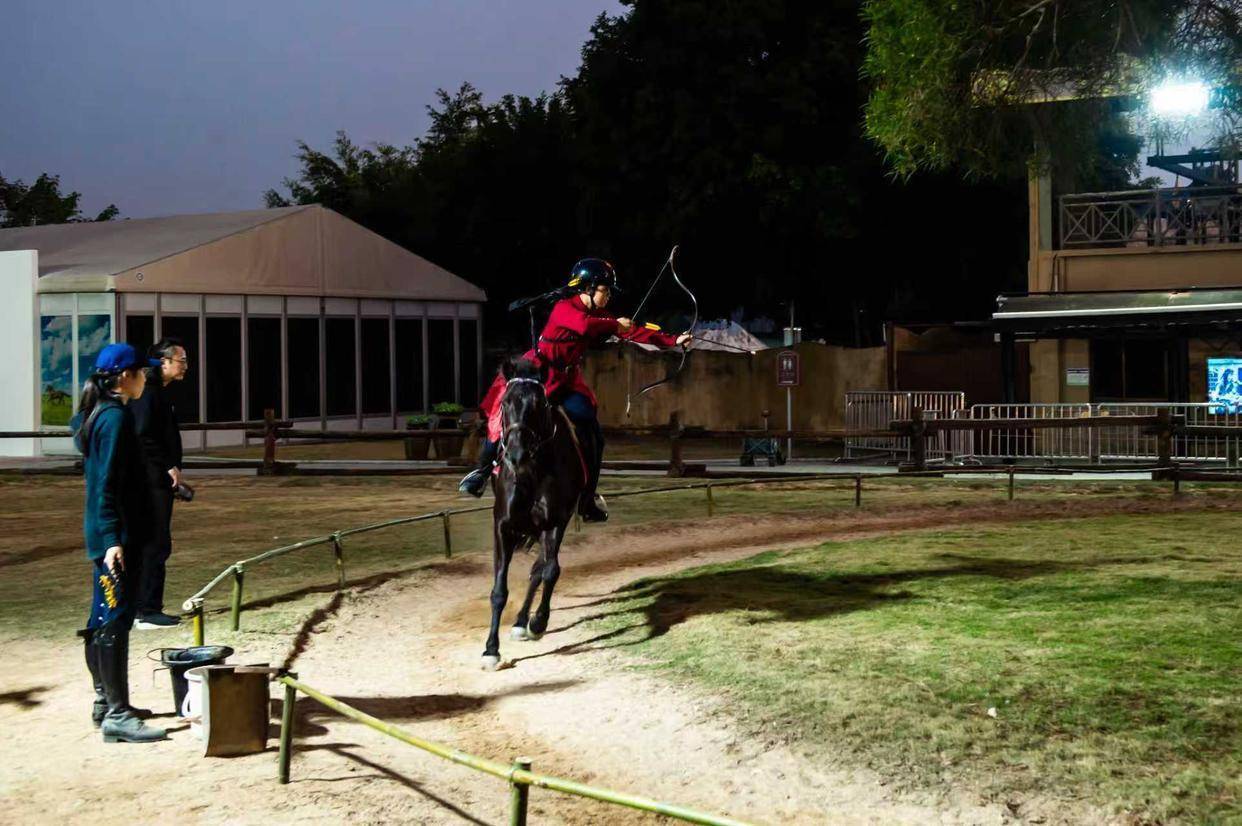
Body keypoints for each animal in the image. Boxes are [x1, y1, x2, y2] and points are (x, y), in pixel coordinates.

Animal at [482, 357, 589, 670]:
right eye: (505, 402)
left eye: (539, 404)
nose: (516, 454)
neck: (531, 471)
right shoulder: (502, 526)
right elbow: (498, 591)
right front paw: (491, 649)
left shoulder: (554, 522)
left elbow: (550, 571)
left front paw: (538, 622)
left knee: (540, 569)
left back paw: (524, 621)